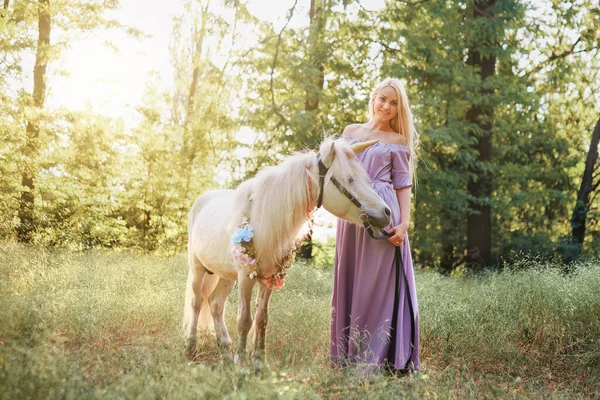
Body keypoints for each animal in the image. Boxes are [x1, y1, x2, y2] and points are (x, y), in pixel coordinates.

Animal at [182, 137, 390, 368]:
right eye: (350, 179)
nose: (386, 212)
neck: (266, 217)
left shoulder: (269, 277)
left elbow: (261, 319)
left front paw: (259, 364)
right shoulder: (246, 277)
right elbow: (244, 320)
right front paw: (242, 366)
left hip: (226, 275)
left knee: (215, 303)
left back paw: (225, 351)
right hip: (198, 268)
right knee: (197, 302)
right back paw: (191, 348)